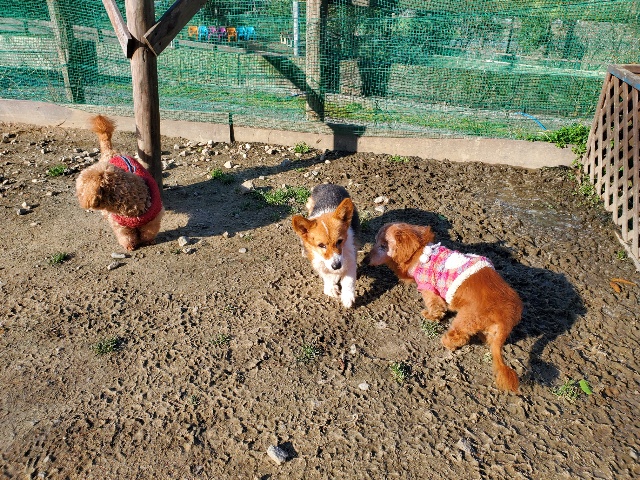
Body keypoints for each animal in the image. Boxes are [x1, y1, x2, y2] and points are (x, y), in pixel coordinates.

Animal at [76, 115, 164, 251]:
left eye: (80, 192)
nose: (79, 201)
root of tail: (111, 151)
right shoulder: (120, 224)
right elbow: (126, 236)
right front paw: (130, 246)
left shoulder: (154, 218)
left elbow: (148, 231)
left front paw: (148, 241)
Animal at [367, 223, 522, 392]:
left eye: (383, 245)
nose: (366, 259)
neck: (420, 253)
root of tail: (506, 317)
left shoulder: (429, 290)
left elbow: (436, 308)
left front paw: (429, 315)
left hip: (465, 319)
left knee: (460, 336)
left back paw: (446, 341)